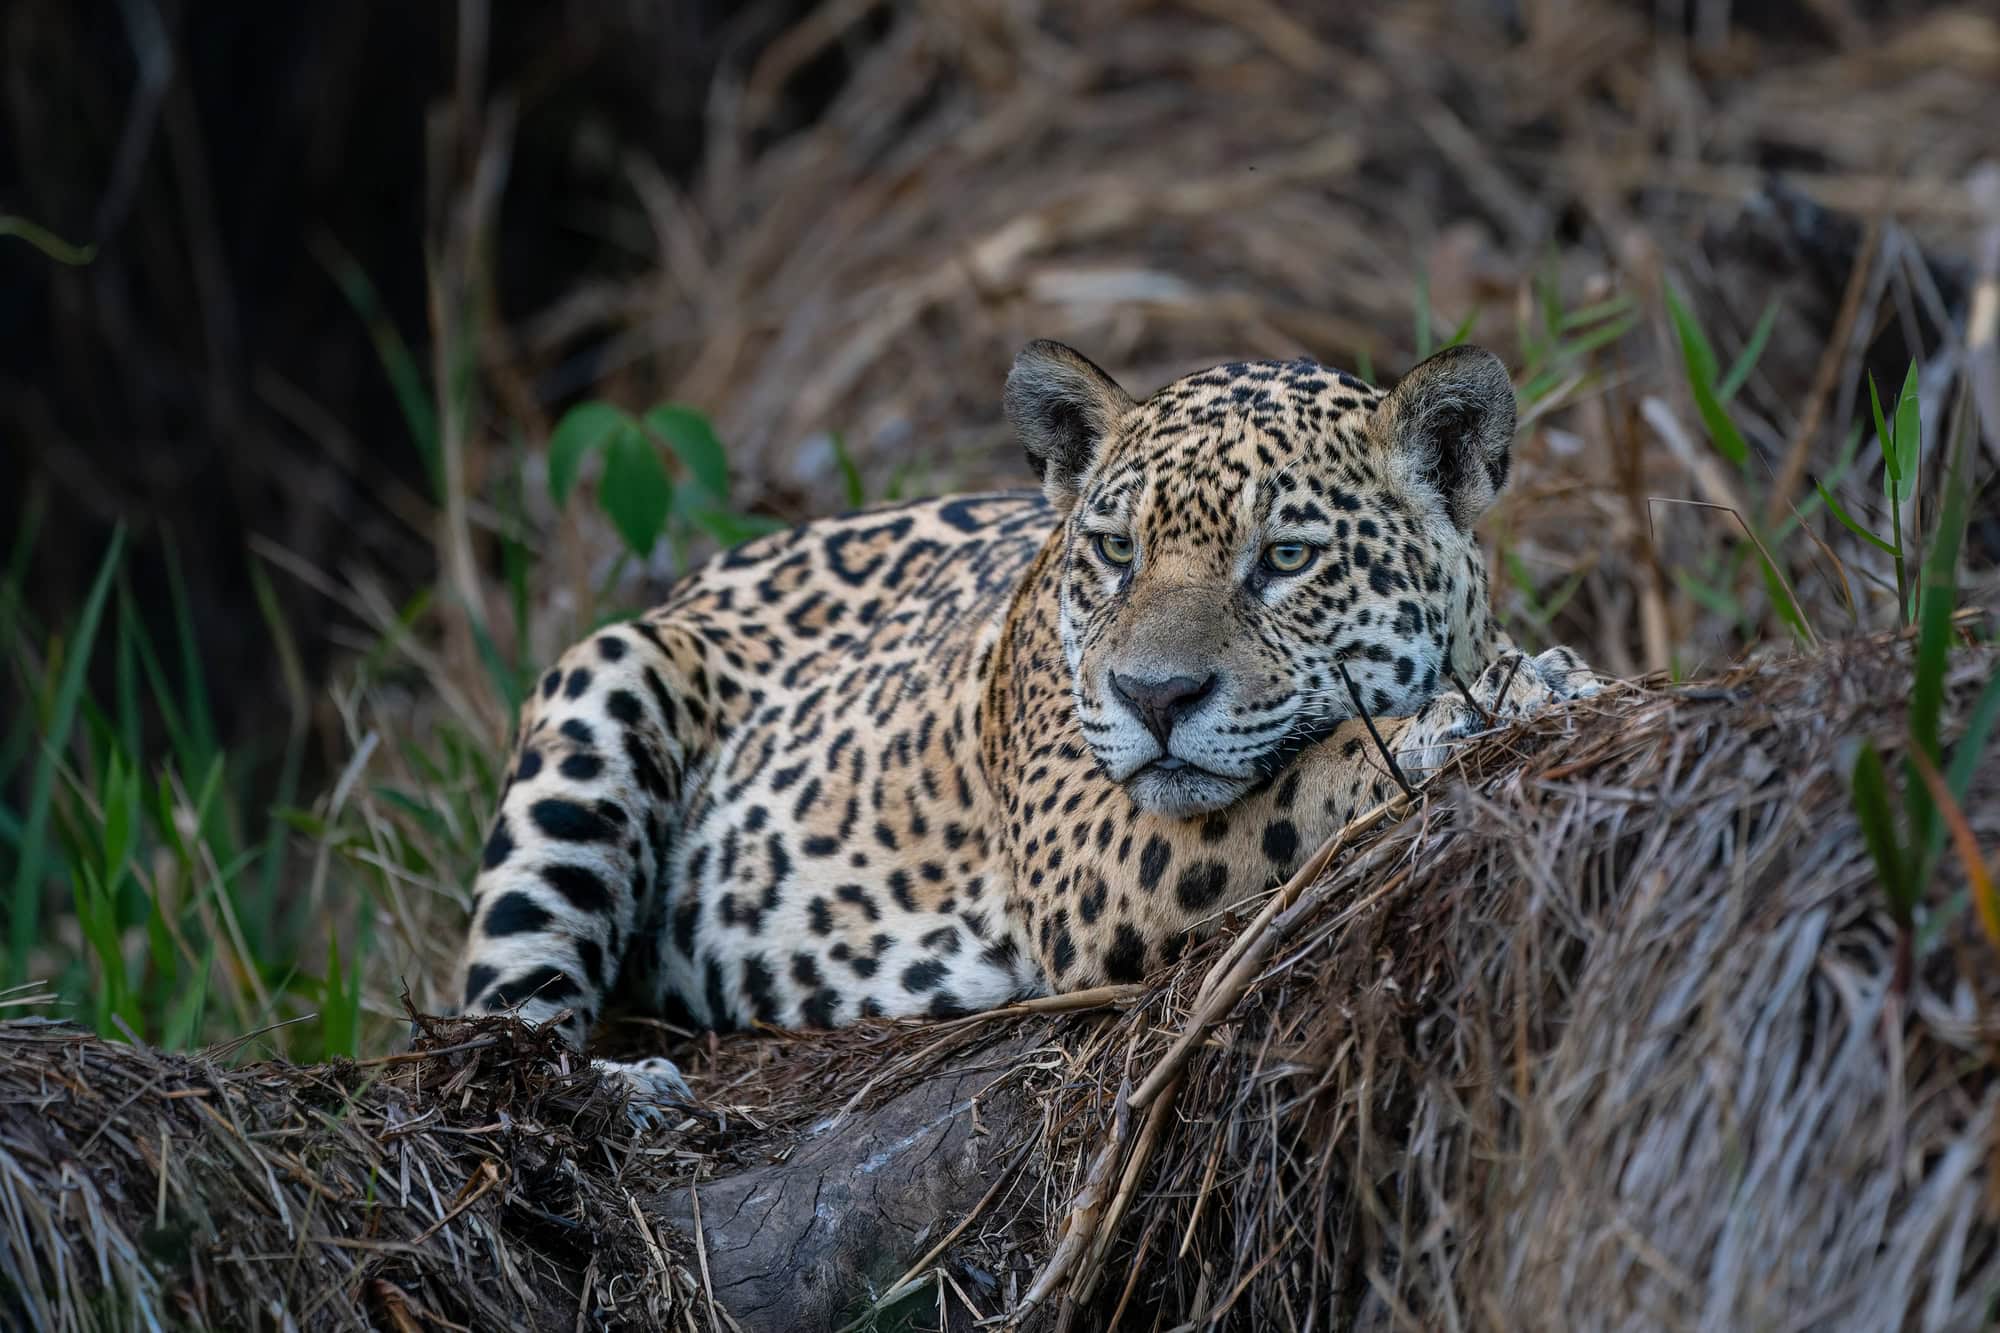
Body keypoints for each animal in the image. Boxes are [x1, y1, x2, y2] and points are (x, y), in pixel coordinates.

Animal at [448, 340, 1599, 1107]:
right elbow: (1307, 770)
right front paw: (1455, 718)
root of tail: (700, 574)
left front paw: (1530, 677)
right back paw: (623, 1088)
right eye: (1114, 550)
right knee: (499, 1016)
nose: (1154, 697)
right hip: (607, 672)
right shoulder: (1082, 846)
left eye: (1285, 558)